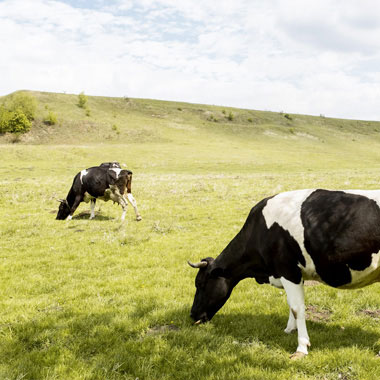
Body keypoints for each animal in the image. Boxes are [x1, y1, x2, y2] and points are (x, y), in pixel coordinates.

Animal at [189, 189, 380, 360]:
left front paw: (301, 347)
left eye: (200, 284)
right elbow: (290, 304)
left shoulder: (288, 271)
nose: (192, 314)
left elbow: (297, 308)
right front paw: (289, 329)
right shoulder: (292, 274)